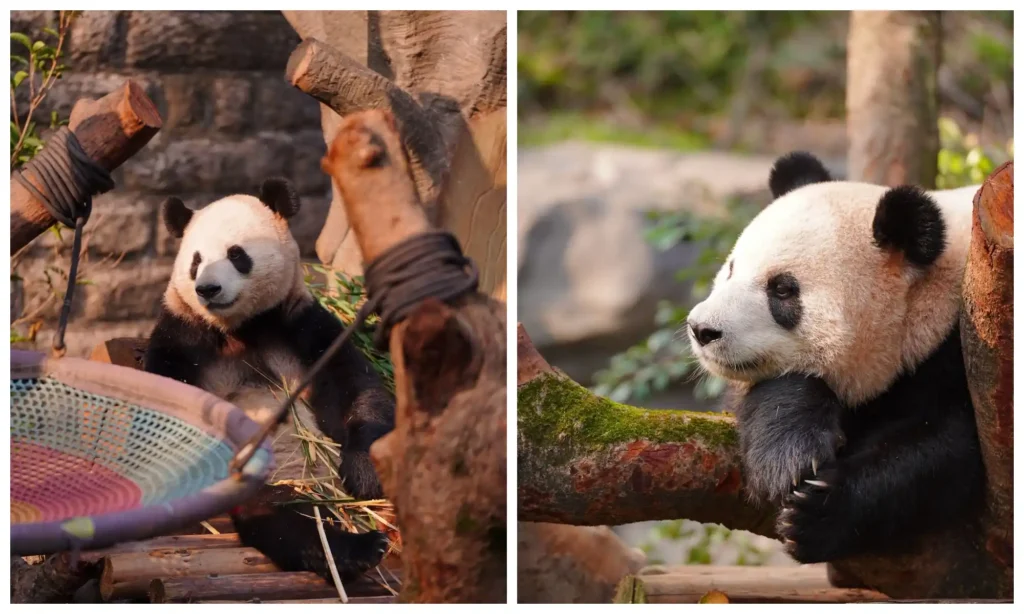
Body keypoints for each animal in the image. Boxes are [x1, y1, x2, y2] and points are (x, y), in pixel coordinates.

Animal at [143, 177, 395, 581]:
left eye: (236, 254)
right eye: (196, 261)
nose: (207, 289)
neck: (238, 328)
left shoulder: (298, 325)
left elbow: (353, 385)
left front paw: (364, 473)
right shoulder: (182, 334)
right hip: (275, 483)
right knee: (290, 517)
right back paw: (359, 548)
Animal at [685, 151, 987, 564]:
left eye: (783, 289)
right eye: (731, 270)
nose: (702, 329)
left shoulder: (964, 353)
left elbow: (947, 448)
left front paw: (816, 514)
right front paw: (788, 457)